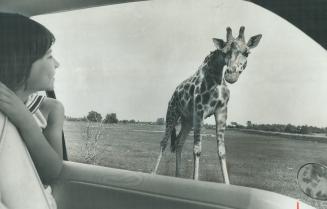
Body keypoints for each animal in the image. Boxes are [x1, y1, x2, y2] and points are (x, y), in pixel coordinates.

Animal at [152, 26, 262, 185]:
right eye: (224, 52)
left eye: (247, 52)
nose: (231, 75)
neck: (216, 77)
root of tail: (174, 93)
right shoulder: (200, 111)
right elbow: (197, 149)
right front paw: (195, 180)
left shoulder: (221, 111)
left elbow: (222, 151)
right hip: (172, 113)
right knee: (164, 142)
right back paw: (153, 174)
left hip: (187, 120)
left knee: (179, 143)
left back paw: (178, 176)